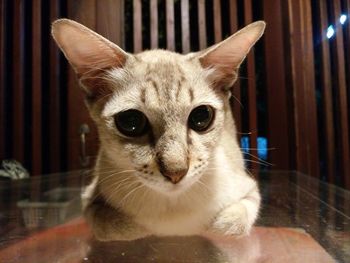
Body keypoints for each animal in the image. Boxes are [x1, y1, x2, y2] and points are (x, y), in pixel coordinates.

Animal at [51, 18, 266, 241]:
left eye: (201, 117)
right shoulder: (91, 200)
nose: (176, 173)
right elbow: (115, 228)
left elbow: (229, 225)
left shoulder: (250, 191)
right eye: (131, 121)